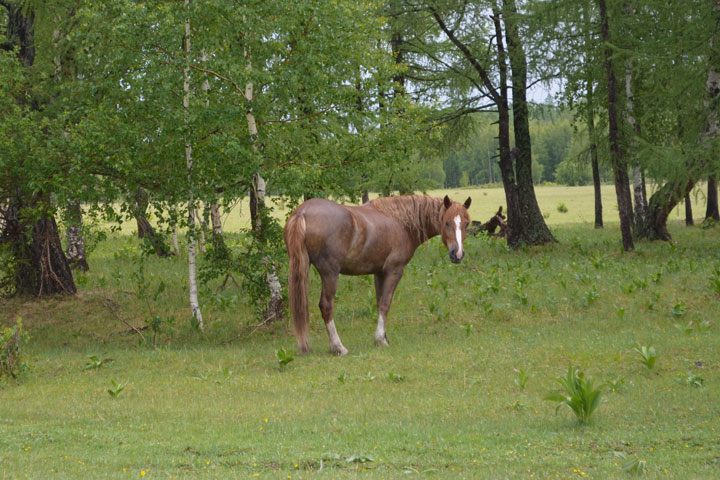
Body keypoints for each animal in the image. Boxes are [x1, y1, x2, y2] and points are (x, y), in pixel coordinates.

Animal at [282, 195, 472, 356]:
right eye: (447, 223)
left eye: (466, 224)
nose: (458, 254)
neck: (401, 222)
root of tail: (302, 212)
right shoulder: (394, 270)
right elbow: (386, 303)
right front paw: (380, 339)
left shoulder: (379, 273)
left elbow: (379, 302)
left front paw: (383, 337)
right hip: (330, 274)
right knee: (326, 305)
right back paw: (338, 347)